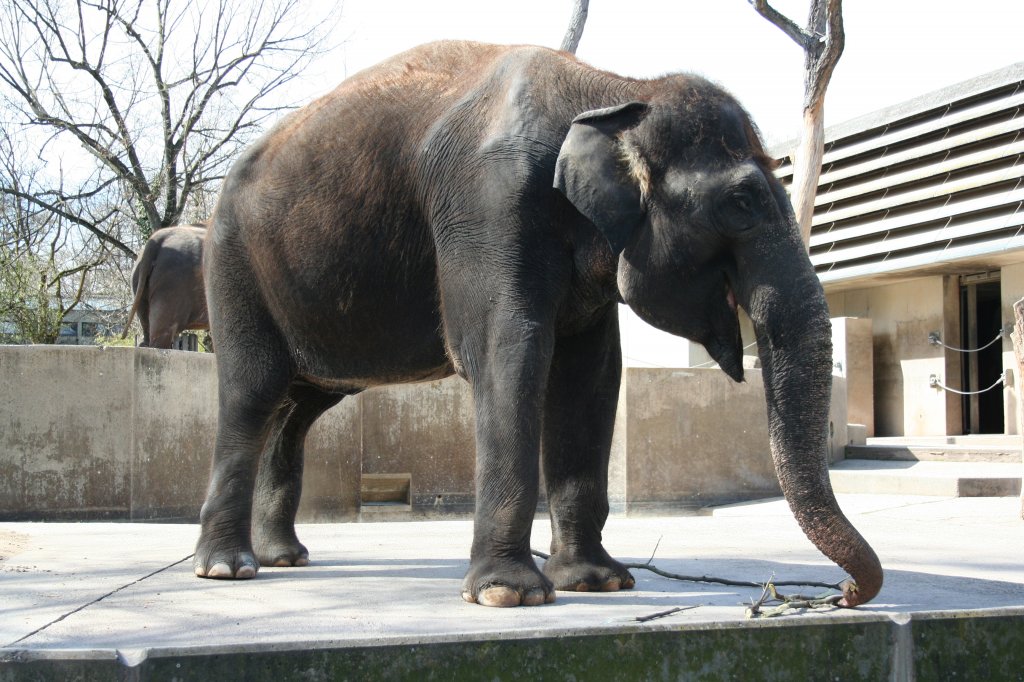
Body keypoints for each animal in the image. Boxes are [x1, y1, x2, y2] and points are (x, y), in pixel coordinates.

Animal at [195, 41, 884, 606]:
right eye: (741, 202)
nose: (844, 594)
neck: (615, 88)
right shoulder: (489, 206)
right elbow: (509, 353)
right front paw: (509, 594)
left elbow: (591, 377)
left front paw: (597, 582)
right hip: (232, 263)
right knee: (253, 392)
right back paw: (227, 569)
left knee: (300, 407)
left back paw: (284, 558)